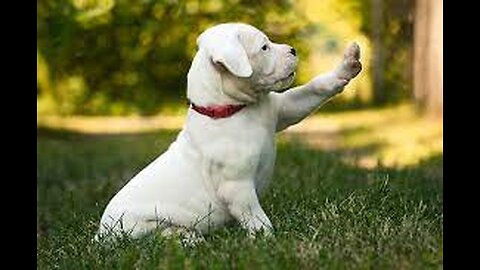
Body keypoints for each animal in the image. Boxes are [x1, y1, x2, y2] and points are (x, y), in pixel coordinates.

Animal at [95, 22, 362, 238]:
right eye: (264, 47)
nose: (293, 50)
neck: (233, 109)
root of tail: (100, 237)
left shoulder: (283, 110)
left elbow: (312, 91)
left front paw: (347, 66)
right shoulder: (237, 187)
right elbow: (256, 218)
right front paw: (269, 241)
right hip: (140, 224)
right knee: (163, 235)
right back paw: (189, 239)